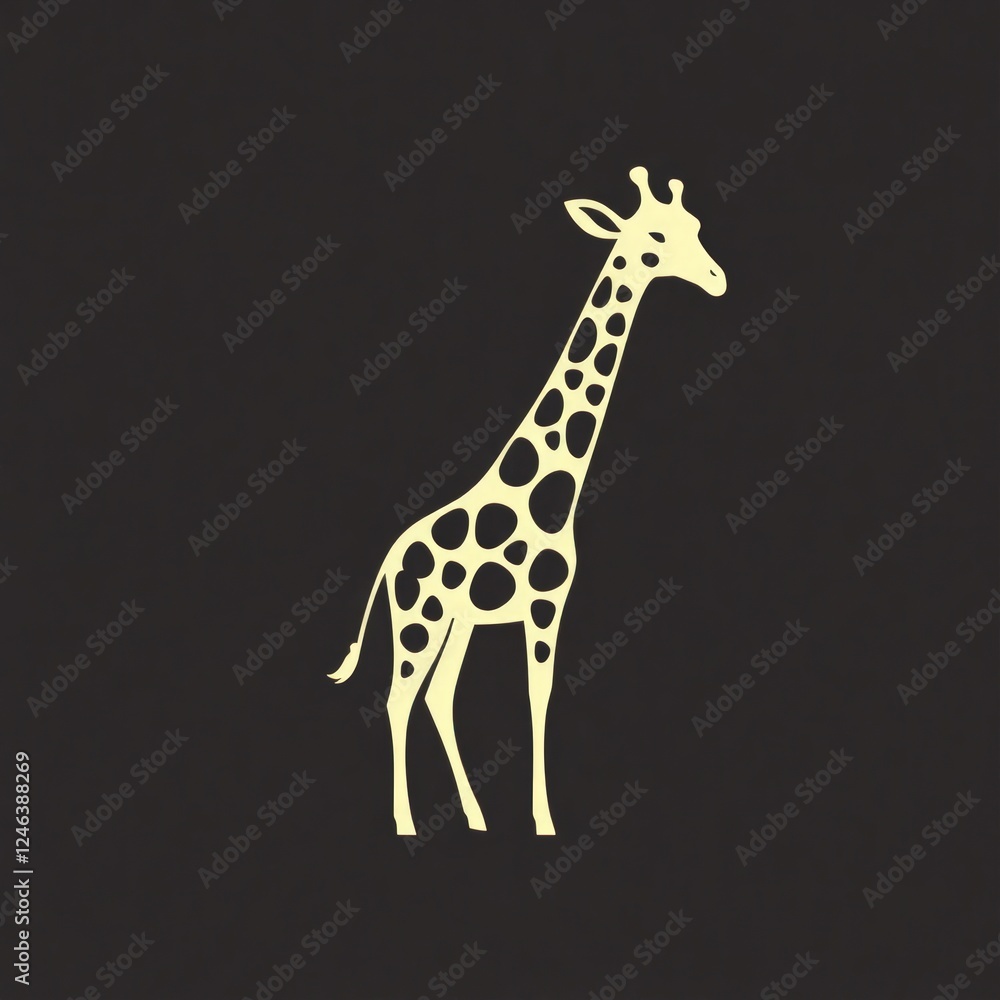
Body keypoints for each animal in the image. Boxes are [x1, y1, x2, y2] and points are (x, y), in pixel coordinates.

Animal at [329, 166, 726, 836]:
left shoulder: (537, 607)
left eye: (696, 227)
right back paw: (406, 821)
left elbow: (527, 701)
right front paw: (545, 819)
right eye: (656, 236)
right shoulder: (544, 605)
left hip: (457, 620)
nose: (719, 280)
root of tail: (390, 561)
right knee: (399, 698)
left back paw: (475, 816)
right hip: (418, 618)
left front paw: (530, 814)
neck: (551, 496)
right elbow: (539, 701)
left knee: (437, 695)